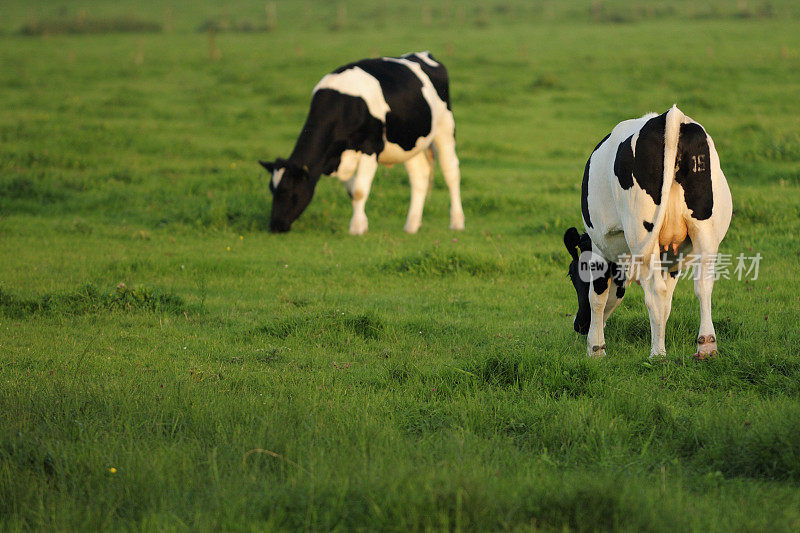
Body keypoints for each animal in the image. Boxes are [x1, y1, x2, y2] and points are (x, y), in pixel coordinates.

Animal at [260, 52, 466, 235]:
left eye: (290, 191)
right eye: (272, 190)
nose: (275, 226)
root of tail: (424, 55)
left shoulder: (370, 147)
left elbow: (359, 190)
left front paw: (357, 228)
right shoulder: (339, 157)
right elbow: (352, 191)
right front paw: (363, 223)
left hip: (445, 128)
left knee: (451, 172)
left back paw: (457, 222)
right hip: (409, 141)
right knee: (420, 176)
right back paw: (412, 225)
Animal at [564, 105, 732, 358]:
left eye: (574, 276)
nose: (579, 325)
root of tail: (669, 116)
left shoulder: (599, 249)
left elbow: (598, 297)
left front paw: (596, 349)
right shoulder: (671, 256)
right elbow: (669, 303)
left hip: (642, 235)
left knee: (655, 291)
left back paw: (657, 354)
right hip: (705, 232)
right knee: (703, 285)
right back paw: (706, 346)